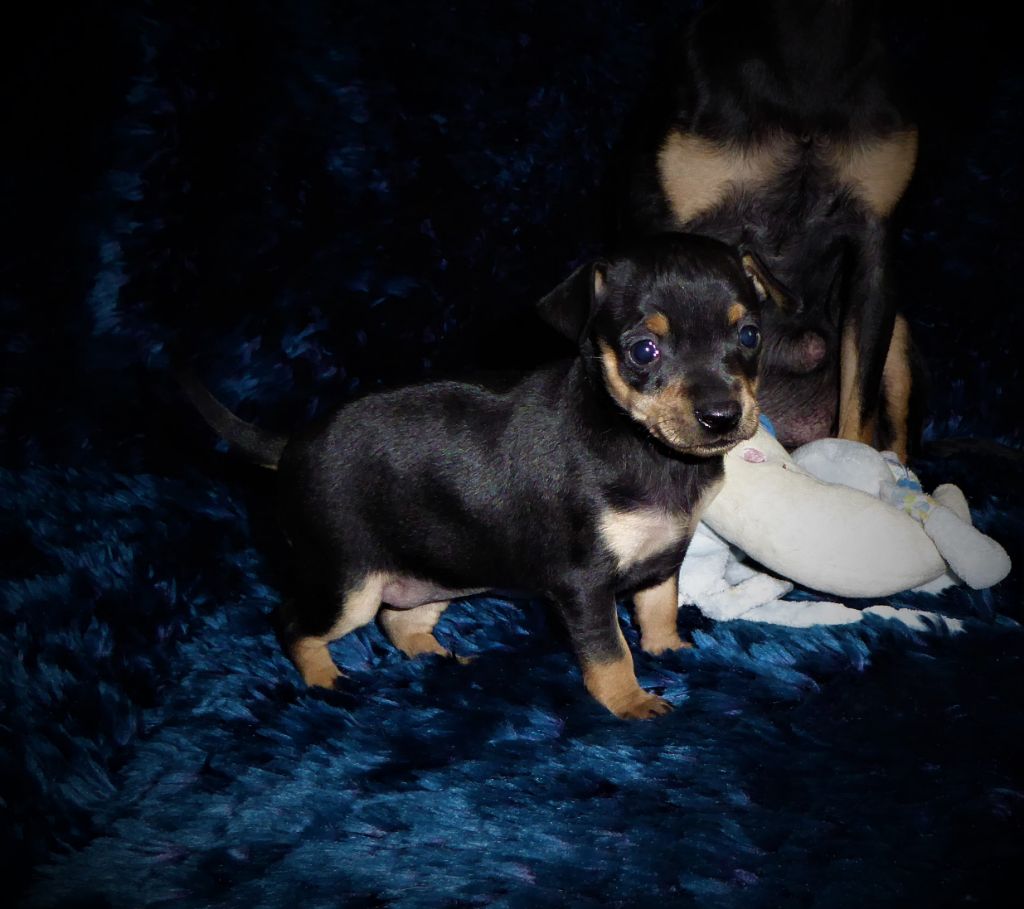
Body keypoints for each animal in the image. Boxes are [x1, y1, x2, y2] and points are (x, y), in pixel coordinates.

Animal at [180, 234, 777, 719]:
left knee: (399, 622)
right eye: (643, 351)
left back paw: (442, 660)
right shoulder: (583, 583)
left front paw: (669, 650)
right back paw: (327, 680)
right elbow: (610, 651)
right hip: (348, 583)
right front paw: (629, 701)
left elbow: (658, 609)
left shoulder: (663, 557)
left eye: (750, 335)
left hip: (435, 570)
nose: (722, 416)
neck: (641, 443)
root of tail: (293, 444)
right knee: (292, 623)